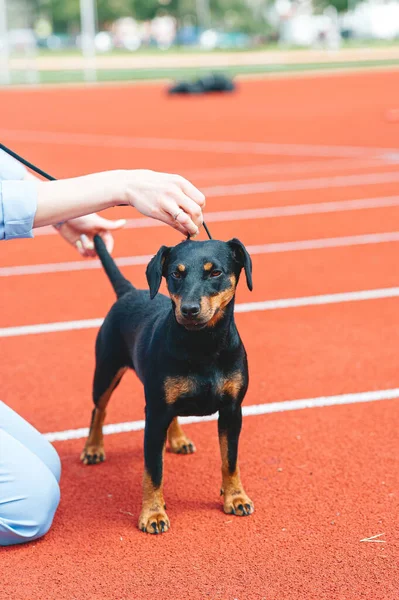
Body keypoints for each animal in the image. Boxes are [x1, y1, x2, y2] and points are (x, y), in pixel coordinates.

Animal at [81, 233, 255, 536]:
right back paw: (93, 448)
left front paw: (235, 497)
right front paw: (153, 514)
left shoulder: (232, 410)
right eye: (176, 273)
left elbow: (230, 460)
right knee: (98, 409)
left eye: (216, 272)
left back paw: (177, 439)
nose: (189, 309)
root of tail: (128, 292)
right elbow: (153, 471)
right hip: (105, 371)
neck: (203, 345)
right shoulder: (155, 414)